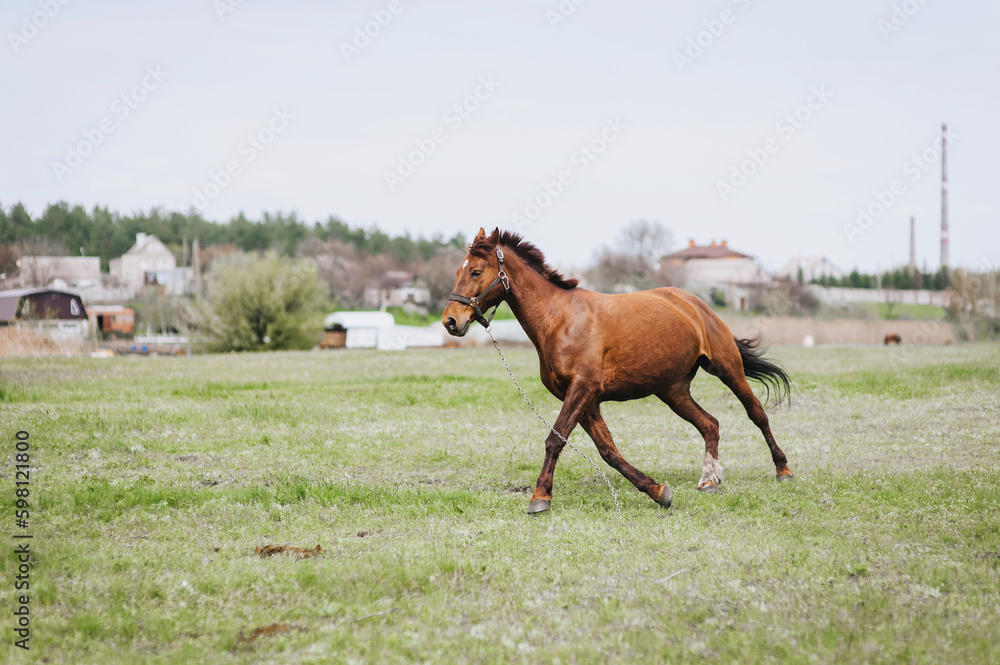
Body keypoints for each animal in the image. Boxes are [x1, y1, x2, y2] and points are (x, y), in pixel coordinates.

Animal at [442, 228, 793, 514]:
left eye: (475, 271)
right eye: (457, 270)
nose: (450, 321)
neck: (560, 320)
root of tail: (695, 303)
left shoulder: (582, 390)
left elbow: (555, 440)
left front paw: (540, 497)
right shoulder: (584, 400)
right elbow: (608, 451)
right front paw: (658, 491)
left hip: (727, 368)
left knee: (757, 413)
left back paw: (783, 470)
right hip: (673, 390)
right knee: (710, 424)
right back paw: (709, 479)